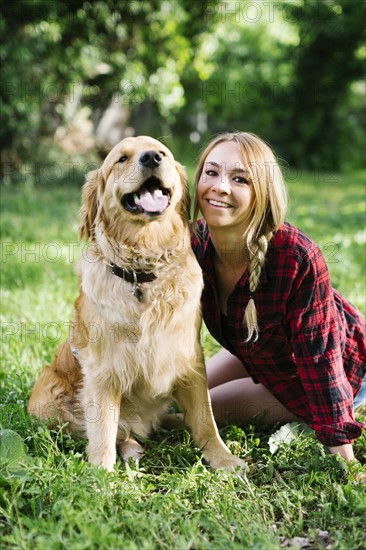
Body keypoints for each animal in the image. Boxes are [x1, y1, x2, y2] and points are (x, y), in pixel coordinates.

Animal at [27, 137, 246, 474]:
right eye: (121, 158)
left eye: (163, 152)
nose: (151, 157)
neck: (143, 272)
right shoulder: (103, 370)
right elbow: (103, 429)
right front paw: (101, 475)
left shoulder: (190, 358)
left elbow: (205, 419)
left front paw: (223, 458)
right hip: (45, 396)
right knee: (114, 430)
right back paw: (130, 447)